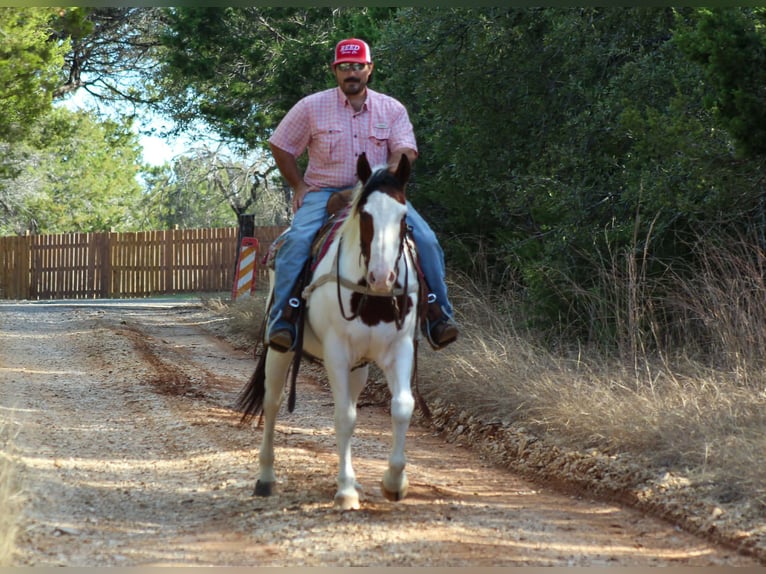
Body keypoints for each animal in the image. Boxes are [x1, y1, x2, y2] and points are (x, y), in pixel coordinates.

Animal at [236, 152, 423, 510]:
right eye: (365, 215)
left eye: (404, 216)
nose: (383, 277)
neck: (371, 296)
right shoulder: (336, 352)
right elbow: (344, 417)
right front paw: (346, 491)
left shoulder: (400, 348)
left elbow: (402, 406)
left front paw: (394, 482)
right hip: (280, 351)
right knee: (272, 402)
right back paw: (266, 478)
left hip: (359, 367)